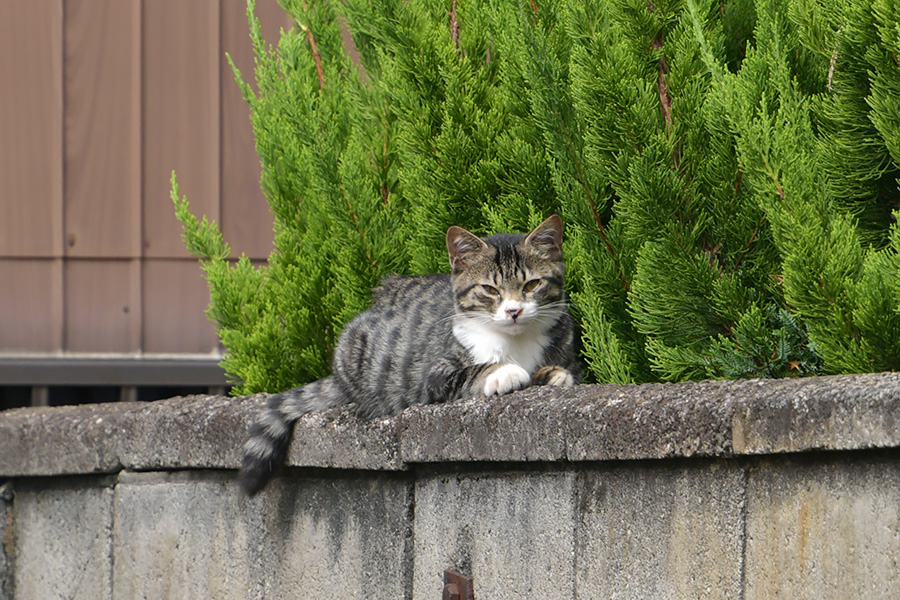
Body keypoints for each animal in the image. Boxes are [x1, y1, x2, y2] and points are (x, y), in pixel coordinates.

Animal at [237, 213, 576, 494]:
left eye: (532, 284)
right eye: (490, 290)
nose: (513, 310)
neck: (514, 341)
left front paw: (553, 374)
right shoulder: (436, 376)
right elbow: (470, 370)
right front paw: (503, 371)